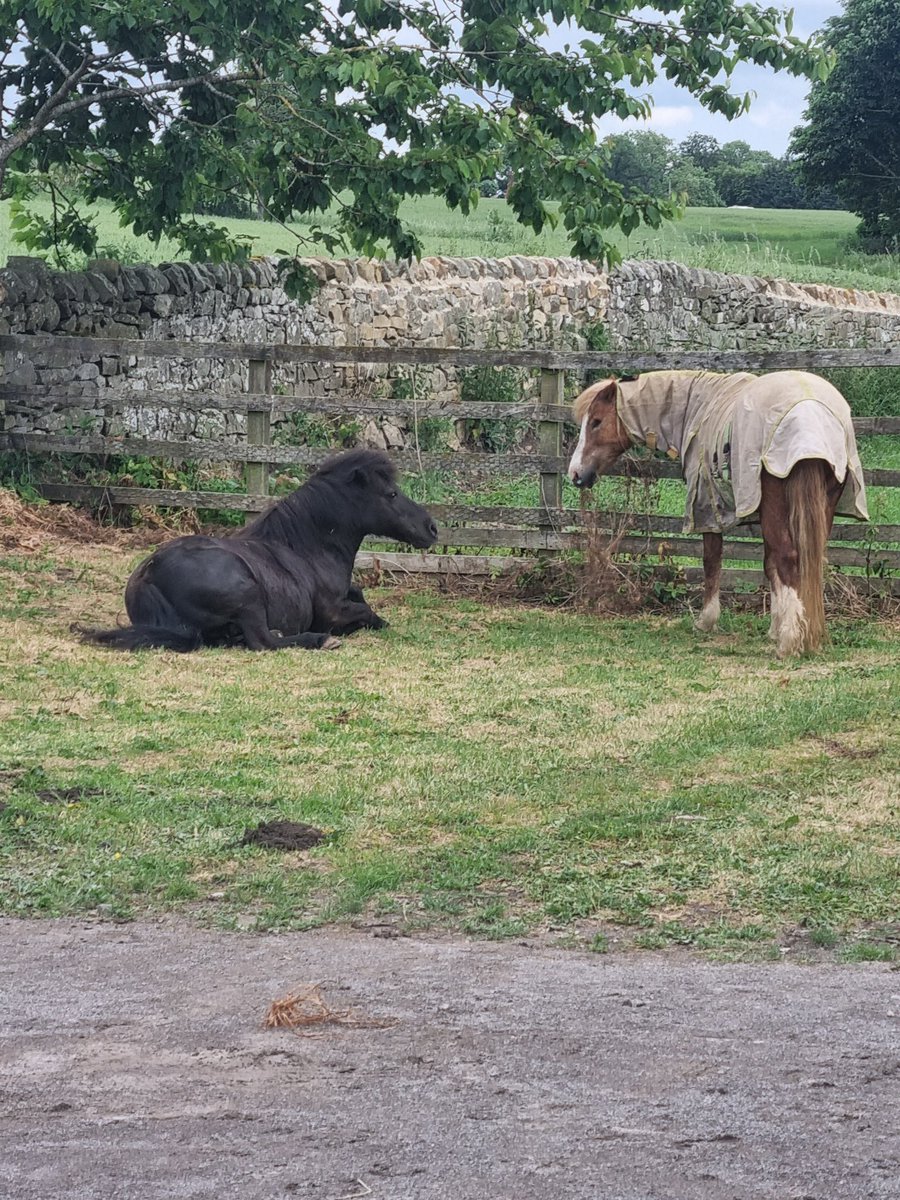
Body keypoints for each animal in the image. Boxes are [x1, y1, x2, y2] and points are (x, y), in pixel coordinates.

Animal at [77, 449, 438, 652]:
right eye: (392, 494)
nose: (432, 528)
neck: (307, 548)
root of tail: (149, 577)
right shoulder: (332, 612)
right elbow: (366, 612)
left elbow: (361, 597)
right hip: (247, 595)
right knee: (264, 642)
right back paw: (318, 641)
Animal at [567, 371, 869, 657]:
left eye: (596, 422)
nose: (576, 473)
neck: (698, 406)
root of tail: (810, 411)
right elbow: (769, 566)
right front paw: (774, 626)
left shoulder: (707, 511)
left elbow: (712, 562)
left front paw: (706, 621)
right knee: (810, 561)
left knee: (789, 558)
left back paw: (790, 642)